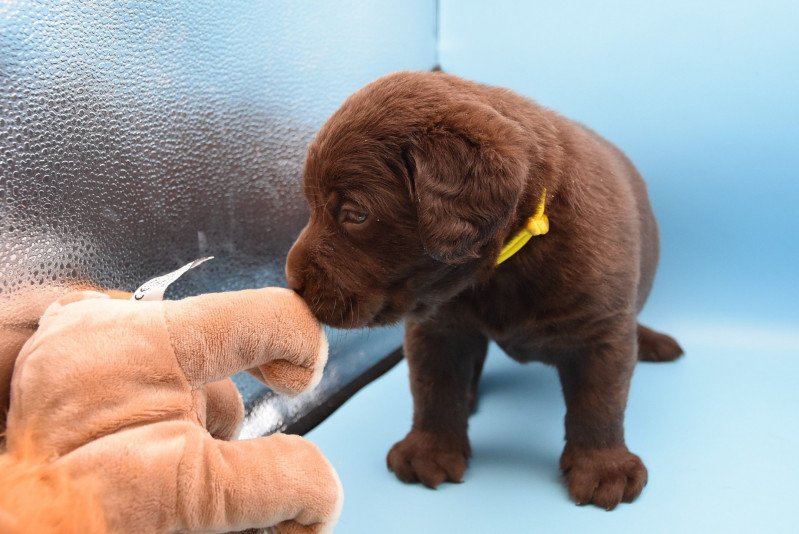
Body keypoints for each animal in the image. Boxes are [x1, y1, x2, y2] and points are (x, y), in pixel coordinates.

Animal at [284, 71, 684, 510]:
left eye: (355, 214)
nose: (292, 282)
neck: (504, 268)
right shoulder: (438, 327)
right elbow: (435, 389)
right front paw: (430, 451)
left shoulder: (602, 331)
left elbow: (599, 401)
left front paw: (603, 467)